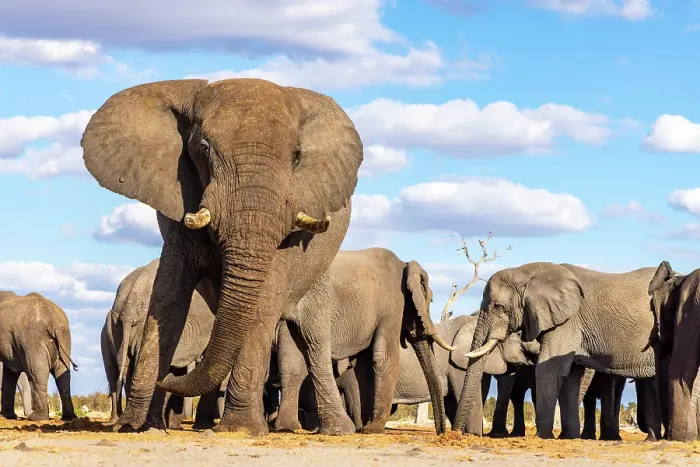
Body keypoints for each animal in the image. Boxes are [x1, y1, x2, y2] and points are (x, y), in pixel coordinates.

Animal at [0, 291, 77, 421]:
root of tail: (52, 319)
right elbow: (10, 373)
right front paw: (8, 416)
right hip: (64, 337)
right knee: (62, 374)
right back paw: (69, 417)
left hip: (32, 339)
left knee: (37, 373)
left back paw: (36, 417)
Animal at [273, 248, 453, 435]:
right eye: (431, 300)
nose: (441, 432)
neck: (405, 264)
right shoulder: (393, 304)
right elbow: (385, 356)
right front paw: (373, 429)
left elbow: (365, 366)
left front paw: (365, 427)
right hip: (317, 301)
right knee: (317, 349)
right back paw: (340, 429)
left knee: (291, 363)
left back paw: (288, 427)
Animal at [453, 262, 662, 440]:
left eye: (498, 307)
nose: (455, 435)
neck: (526, 272)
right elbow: (571, 377)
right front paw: (569, 437)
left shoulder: (568, 322)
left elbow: (549, 370)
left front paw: (543, 437)